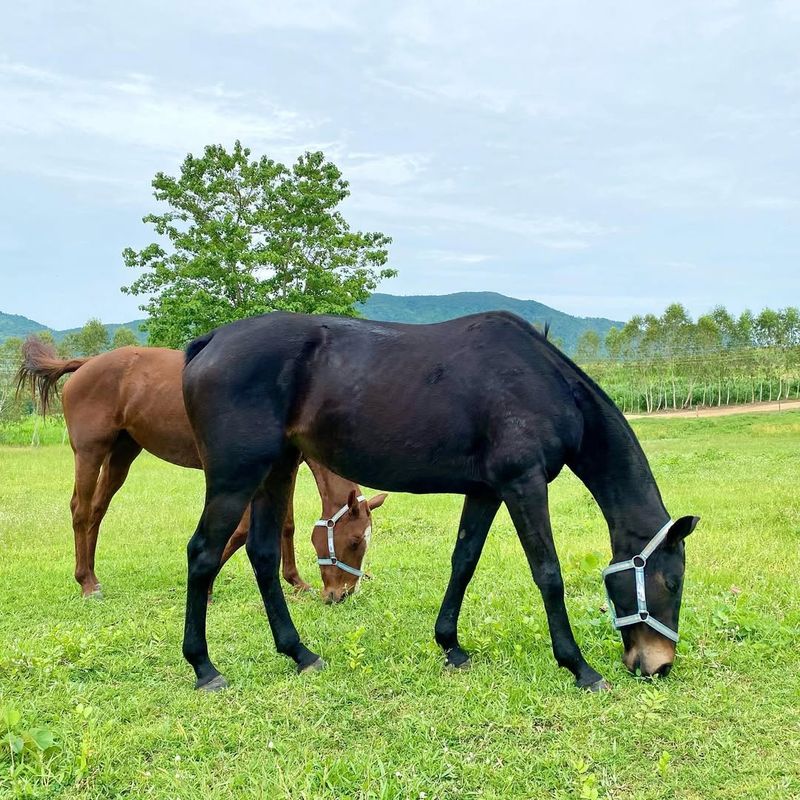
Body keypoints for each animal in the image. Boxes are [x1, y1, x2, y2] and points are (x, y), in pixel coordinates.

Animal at [15, 340, 384, 604]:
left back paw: (91, 577)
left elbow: (286, 526)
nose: (343, 594)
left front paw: (295, 581)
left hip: (121, 454)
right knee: (80, 510)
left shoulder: (283, 469)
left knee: (96, 510)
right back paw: (85, 584)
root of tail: (85, 363)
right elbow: (244, 531)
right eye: (354, 541)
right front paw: (205, 587)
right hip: (90, 452)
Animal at [180, 310, 692, 692]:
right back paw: (204, 667)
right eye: (672, 583)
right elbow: (548, 574)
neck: (543, 382)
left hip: (277, 470)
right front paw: (579, 667)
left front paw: (451, 645)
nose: (658, 665)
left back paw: (299, 653)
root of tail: (211, 341)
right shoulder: (523, 484)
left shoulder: (486, 491)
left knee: (263, 555)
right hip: (236, 478)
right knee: (203, 554)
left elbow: (463, 561)